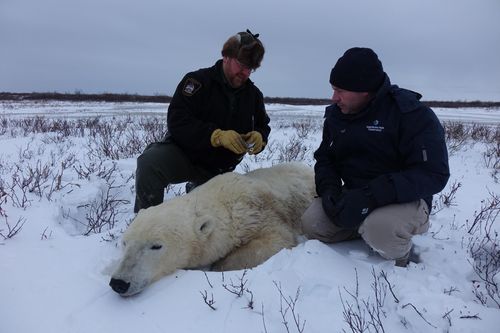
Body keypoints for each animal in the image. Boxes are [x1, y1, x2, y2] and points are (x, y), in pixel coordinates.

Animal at [109, 162, 312, 294]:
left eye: (156, 246)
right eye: (125, 243)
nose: (119, 283)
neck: (225, 202)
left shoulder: (259, 213)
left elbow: (276, 240)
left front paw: (217, 266)